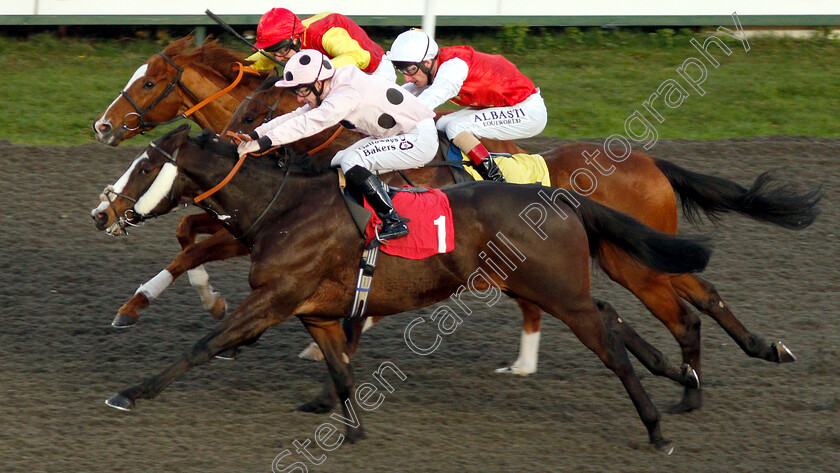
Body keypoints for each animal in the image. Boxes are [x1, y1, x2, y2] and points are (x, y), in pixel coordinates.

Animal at [97, 125, 716, 450]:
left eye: (145, 166)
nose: (103, 212)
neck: (284, 209)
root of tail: (560, 196)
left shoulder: (273, 299)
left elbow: (206, 345)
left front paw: (131, 392)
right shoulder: (316, 313)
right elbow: (342, 371)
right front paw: (351, 432)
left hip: (559, 293)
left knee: (611, 342)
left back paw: (657, 426)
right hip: (556, 289)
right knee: (613, 314)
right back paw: (677, 373)